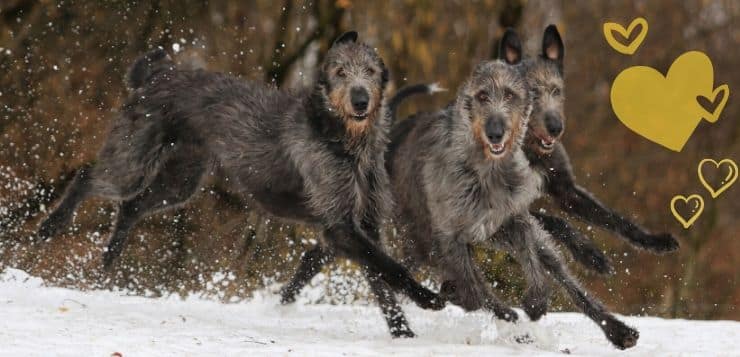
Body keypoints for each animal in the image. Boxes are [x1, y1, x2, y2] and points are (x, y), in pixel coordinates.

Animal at [39, 31, 440, 336]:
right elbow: (390, 266)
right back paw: (52, 224)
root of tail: (158, 75)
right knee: (89, 177)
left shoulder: (365, 223)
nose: (360, 100)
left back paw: (108, 262)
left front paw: (402, 333)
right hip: (133, 160)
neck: (342, 141)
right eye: (340, 71)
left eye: (370, 71)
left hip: (180, 180)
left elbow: (381, 282)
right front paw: (428, 298)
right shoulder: (340, 226)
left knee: (131, 206)